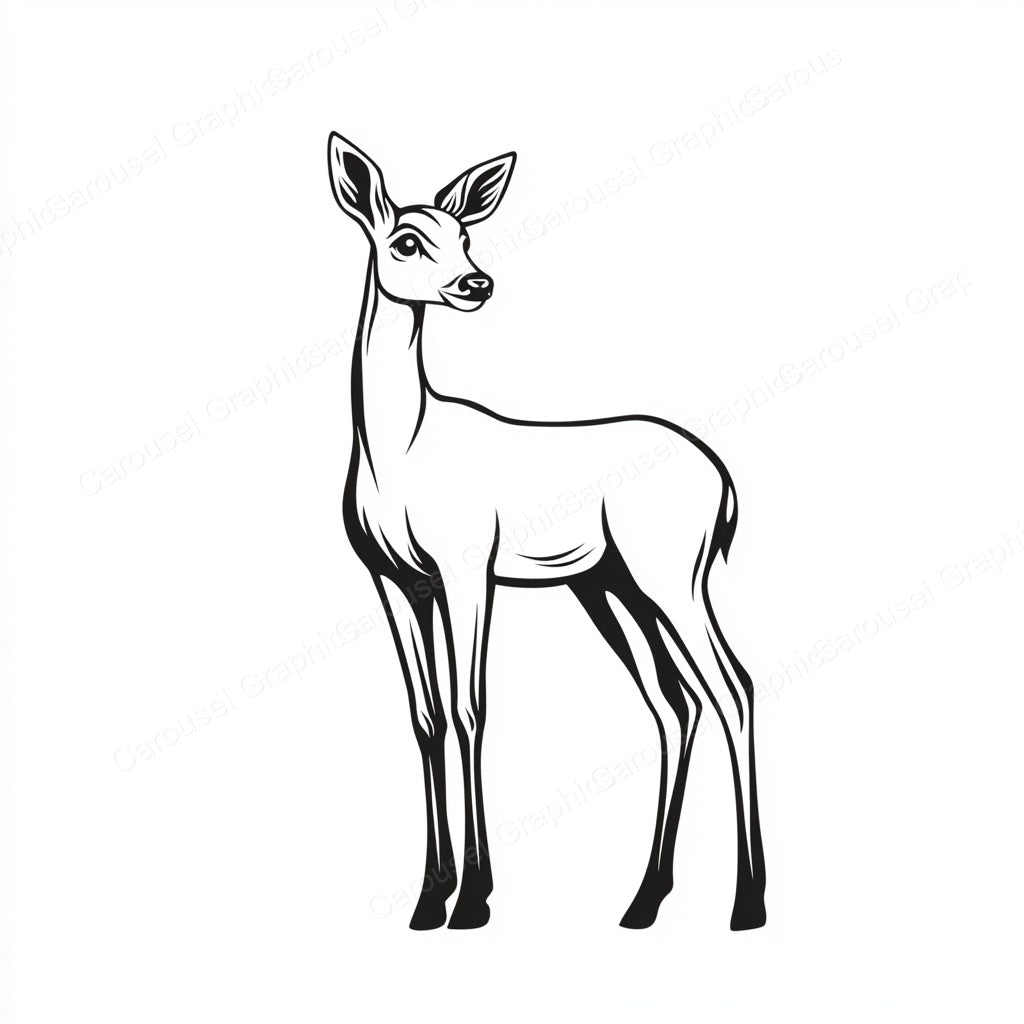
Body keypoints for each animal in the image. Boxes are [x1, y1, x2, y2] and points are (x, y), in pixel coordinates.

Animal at [327, 133, 766, 932]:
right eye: (407, 240)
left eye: (464, 236)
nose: (475, 283)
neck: (400, 447)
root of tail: (721, 478)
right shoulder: (397, 583)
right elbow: (426, 718)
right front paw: (427, 899)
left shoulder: (467, 570)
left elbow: (471, 708)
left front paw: (473, 898)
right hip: (612, 588)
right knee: (674, 703)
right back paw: (643, 901)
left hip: (671, 580)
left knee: (733, 688)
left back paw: (746, 903)